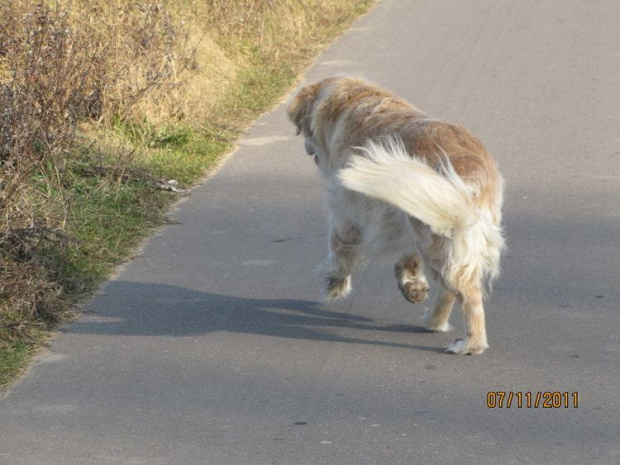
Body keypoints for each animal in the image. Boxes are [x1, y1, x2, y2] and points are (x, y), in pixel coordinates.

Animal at [286, 76, 504, 354]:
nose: (307, 148)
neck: (350, 103)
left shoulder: (346, 213)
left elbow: (339, 251)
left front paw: (335, 284)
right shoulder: (403, 216)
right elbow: (406, 261)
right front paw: (412, 284)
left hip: (435, 238)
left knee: (467, 295)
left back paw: (470, 343)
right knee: (450, 289)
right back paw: (433, 321)